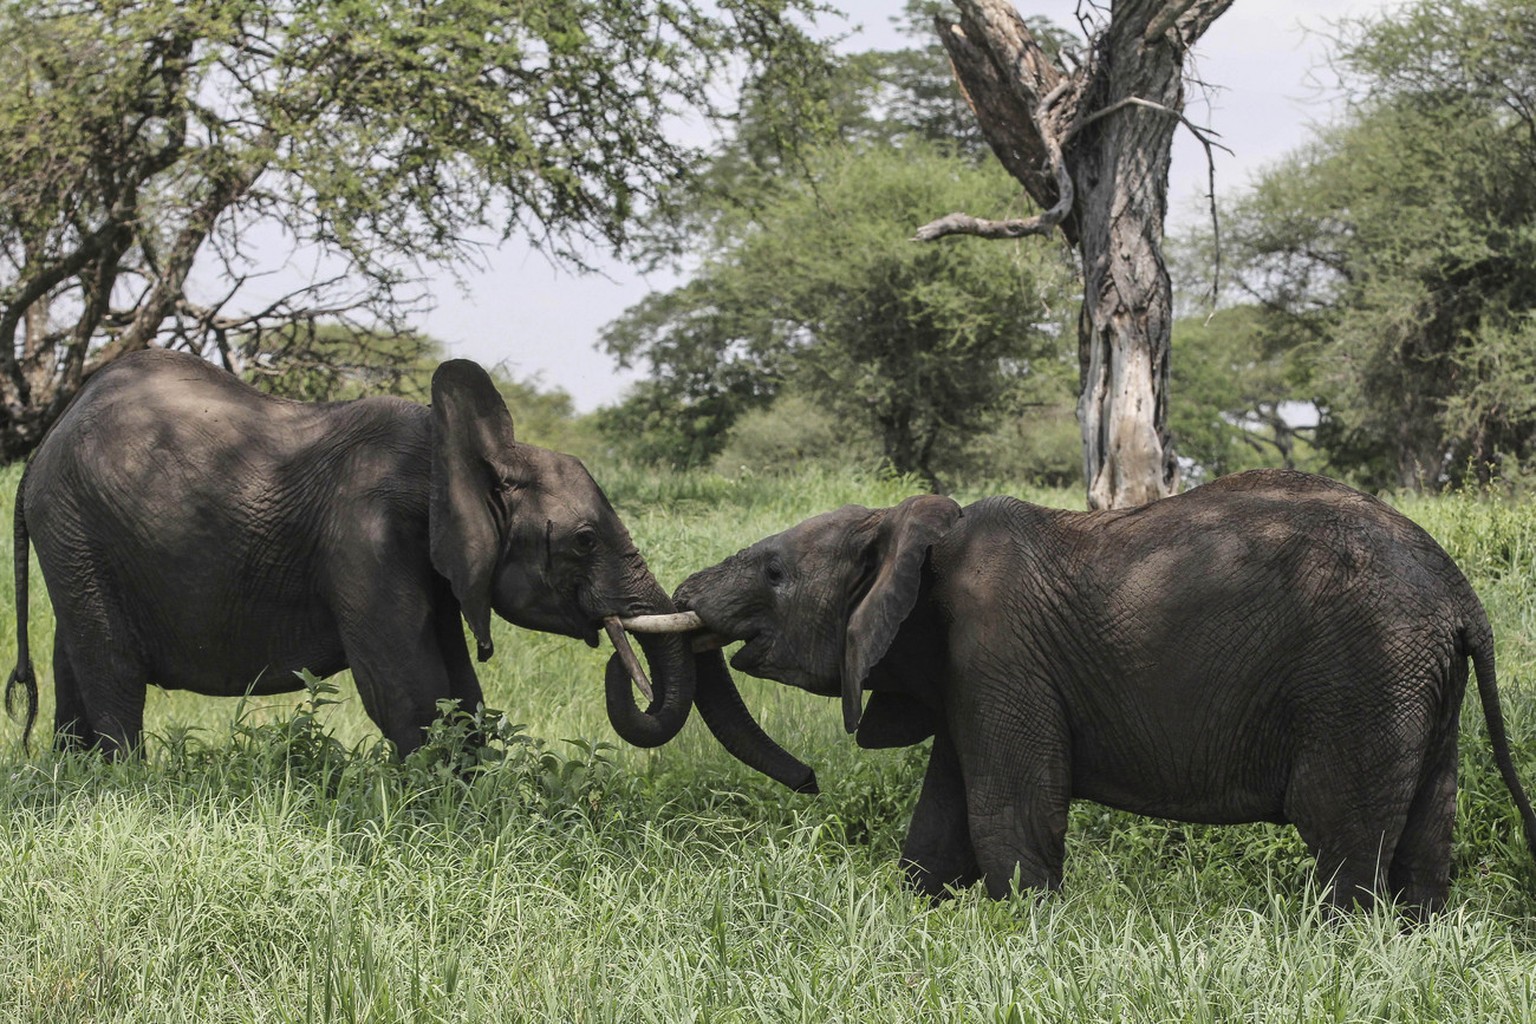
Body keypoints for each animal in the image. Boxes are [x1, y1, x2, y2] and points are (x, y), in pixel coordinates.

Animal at [0, 350, 811, 776]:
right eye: (583, 540)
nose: (809, 783)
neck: (462, 454)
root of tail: (45, 443)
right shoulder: (365, 538)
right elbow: (408, 689)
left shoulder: (440, 562)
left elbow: (460, 691)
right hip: (77, 527)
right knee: (112, 671)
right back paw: (125, 785)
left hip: (76, 540)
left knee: (75, 661)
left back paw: (76, 778)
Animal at [672, 472, 1536, 914]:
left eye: (773, 572)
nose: (809, 781)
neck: (910, 531)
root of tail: (1462, 595)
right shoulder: (966, 672)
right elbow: (941, 823)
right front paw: (920, 919)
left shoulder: (997, 652)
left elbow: (1009, 809)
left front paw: (1026, 934)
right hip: (1418, 679)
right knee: (1428, 826)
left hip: (1365, 672)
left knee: (1341, 828)